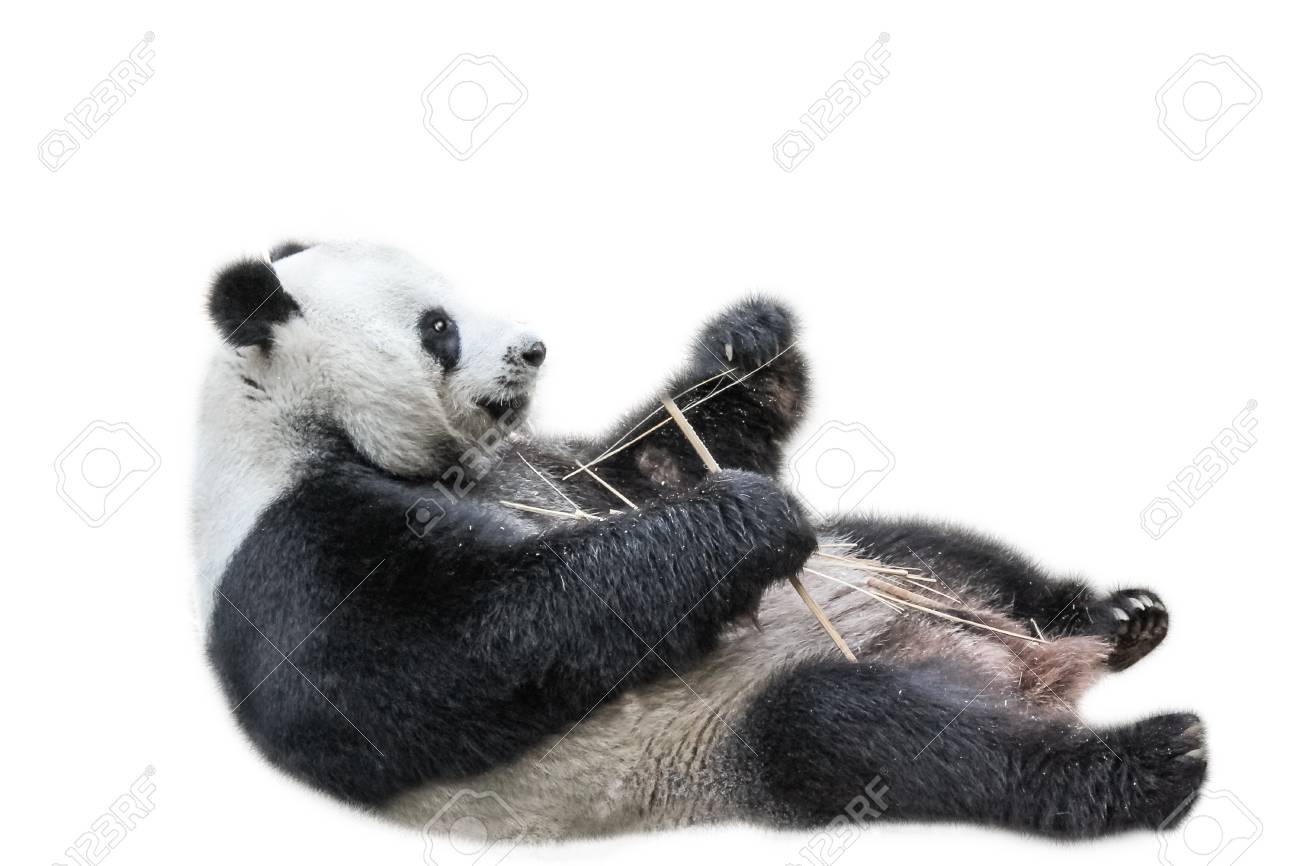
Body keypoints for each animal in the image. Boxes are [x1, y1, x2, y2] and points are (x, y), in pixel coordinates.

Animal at [194, 240, 1206, 843]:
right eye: (437, 326)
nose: (532, 349)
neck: (306, 425)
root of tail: (1018, 672)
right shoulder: (291, 547)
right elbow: (452, 655)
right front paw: (748, 518)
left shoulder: (550, 467)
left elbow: (649, 463)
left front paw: (747, 345)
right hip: (727, 738)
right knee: (868, 733)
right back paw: (1147, 763)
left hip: (892, 567)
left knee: (936, 553)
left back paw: (1113, 617)